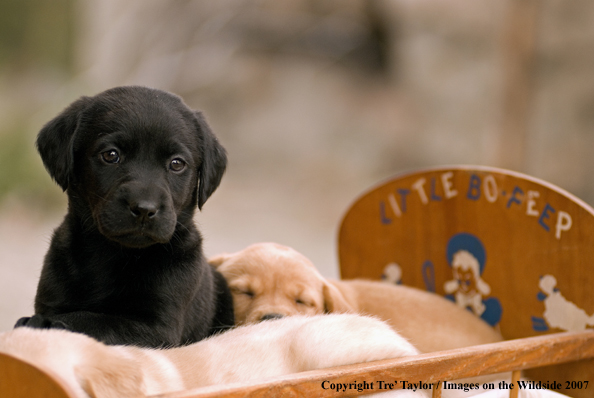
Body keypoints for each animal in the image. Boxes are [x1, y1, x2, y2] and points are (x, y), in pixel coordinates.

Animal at [16, 85, 234, 346]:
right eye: (111, 155)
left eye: (177, 163)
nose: (144, 209)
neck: (112, 254)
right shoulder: (51, 295)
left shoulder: (157, 329)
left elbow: (93, 320)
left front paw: (44, 324)